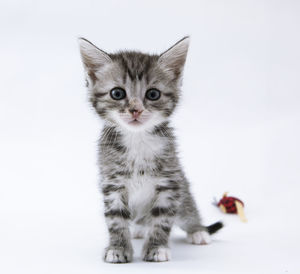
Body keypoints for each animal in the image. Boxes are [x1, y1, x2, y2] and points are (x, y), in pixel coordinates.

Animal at [79, 37, 223, 264]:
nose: (135, 110)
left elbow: (162, 218)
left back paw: (198, 231)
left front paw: (157, 247)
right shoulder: (112, 184)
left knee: (187, 210)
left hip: (183, 192)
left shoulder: (170, 183)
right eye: (117, 93)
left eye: (153, 94)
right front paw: (117, 247)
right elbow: (116, 219)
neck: (137, 139)